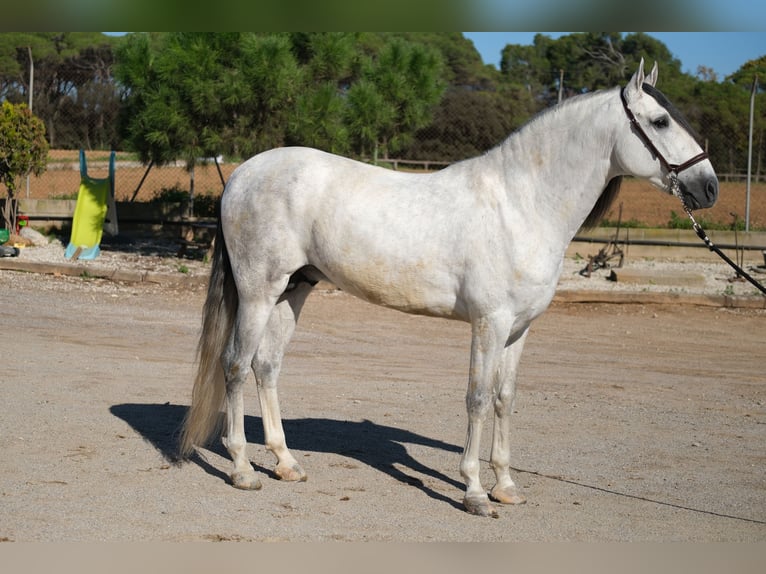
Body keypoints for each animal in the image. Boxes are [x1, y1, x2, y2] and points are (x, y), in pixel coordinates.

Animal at [180, 60, 720, 520]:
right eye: (660, 121)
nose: (709, 187)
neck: (521, 205)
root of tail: (242, 173)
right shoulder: (489, 323)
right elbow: (477, 398)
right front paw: (475, 493)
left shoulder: (519, 330)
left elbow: (505, 398)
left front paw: (507, 488)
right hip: (258, 292)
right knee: (235, 365)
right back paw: (243, 469)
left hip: (294, 290)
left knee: (266, 366)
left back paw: (286, 463)